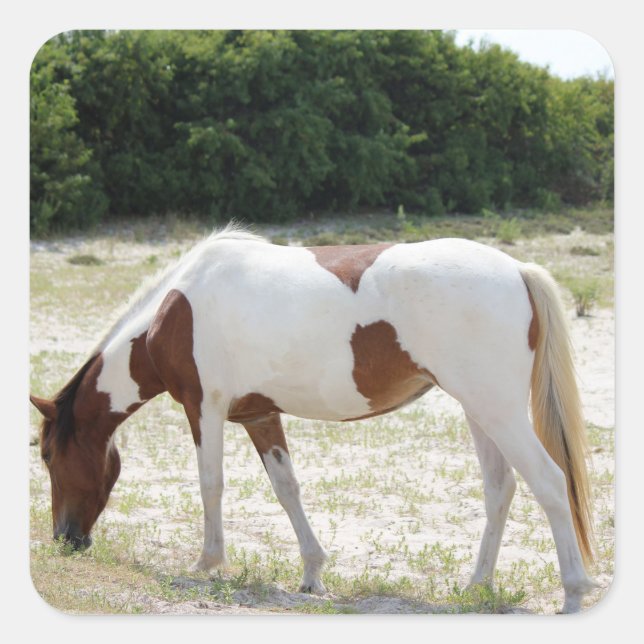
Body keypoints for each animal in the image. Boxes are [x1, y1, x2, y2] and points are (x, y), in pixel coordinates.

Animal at [30, 224, 597, 613]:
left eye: (49, 455)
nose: (65, 538)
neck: (177, 309)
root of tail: (517, 270)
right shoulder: (259, 416)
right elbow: (287, 489)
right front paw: (312, 573)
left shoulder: (203, 406)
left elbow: (211, 484)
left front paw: (208, 562)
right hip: (480, 410)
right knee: (500, 489)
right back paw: (477, 586)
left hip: (497, 410)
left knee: (550, 482)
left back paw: (573, 592)